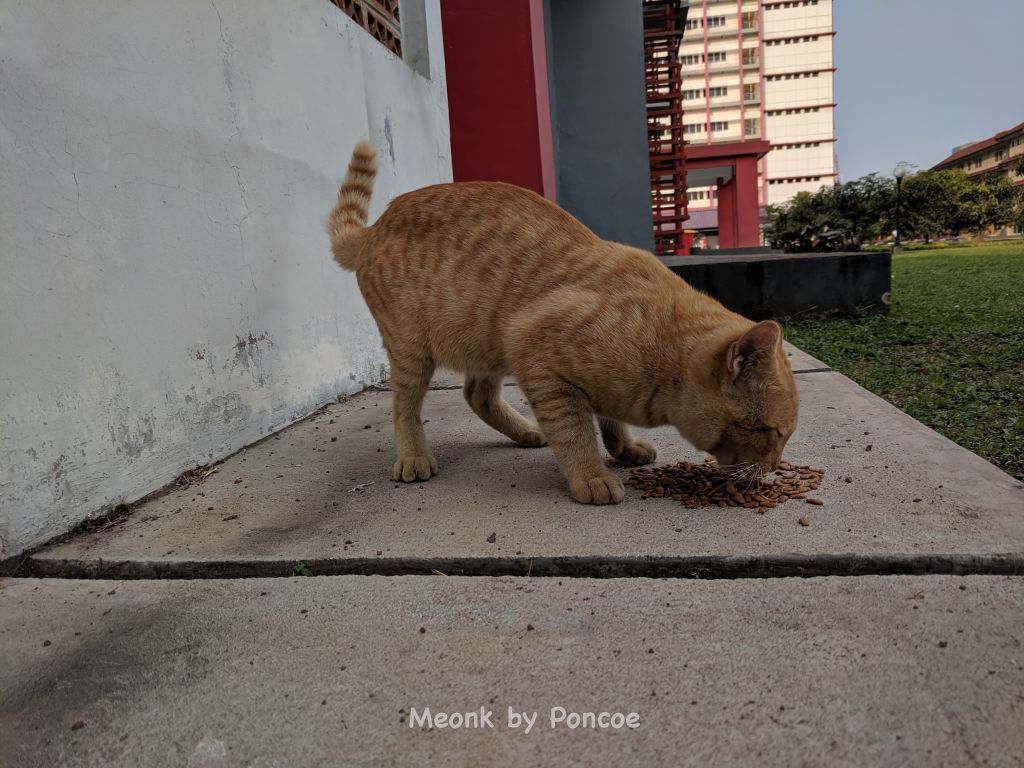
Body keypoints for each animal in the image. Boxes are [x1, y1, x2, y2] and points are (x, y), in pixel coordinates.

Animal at [327, 142, 799, 505]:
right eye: (771, 432)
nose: (774, 467)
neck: (663, 352)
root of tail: (375, 227)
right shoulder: (539, 358)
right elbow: (575, 434)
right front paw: (590, 476)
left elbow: (610, 421)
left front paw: (624, 448)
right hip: (415, 351)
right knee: (406, 406)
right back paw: (414, 457)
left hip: (488, 344)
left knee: (477, 395)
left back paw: (525, 433)